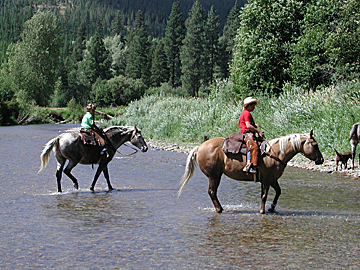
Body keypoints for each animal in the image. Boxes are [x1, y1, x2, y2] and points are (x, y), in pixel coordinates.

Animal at [177, 130, 324, 214]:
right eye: (315, 145)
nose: (321, 160)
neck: (275, 153)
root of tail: (200, 146)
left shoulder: (272, 179)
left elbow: (278, 192)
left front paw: (272, 208)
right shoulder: (266, 180)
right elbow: (264, 195)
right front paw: (262, 211)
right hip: (214, 176)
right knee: (212, 192)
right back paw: (219, 209)